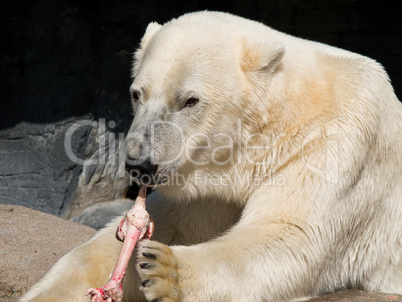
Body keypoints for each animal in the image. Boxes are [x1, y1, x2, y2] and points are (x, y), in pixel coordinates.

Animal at [22, 10, 402, 300]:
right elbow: (151, 229)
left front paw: (162, 269)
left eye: (189, 100)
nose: (139, 165)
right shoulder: (205, 179)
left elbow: (292, 236)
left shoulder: (336, 143)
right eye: (136, 93)